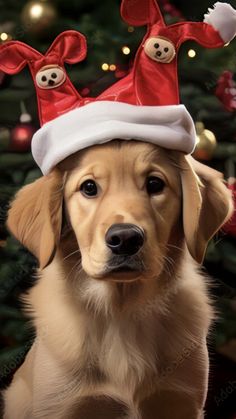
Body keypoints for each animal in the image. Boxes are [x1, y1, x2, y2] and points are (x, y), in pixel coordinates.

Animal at [1, 142, 233, 419]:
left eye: (155, 184)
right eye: (89, 187)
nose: (125, 239)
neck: (122, 311)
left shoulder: (182, 402)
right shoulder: (61, 406)